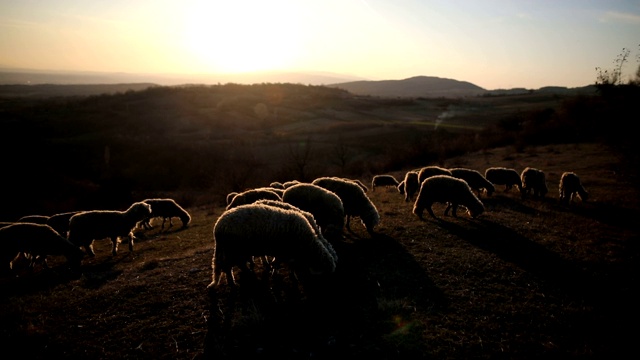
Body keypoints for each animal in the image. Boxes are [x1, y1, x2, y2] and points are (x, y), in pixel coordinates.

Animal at [208, 202, 338, 290]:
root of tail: (218, 226)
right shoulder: (284, 251)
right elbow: (283, 264)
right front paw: (284, 275)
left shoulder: (286, 252)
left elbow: (283, 263)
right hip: (235, 249)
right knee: (230, 265)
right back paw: (238, 280)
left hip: (232, 249)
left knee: (228, 266)